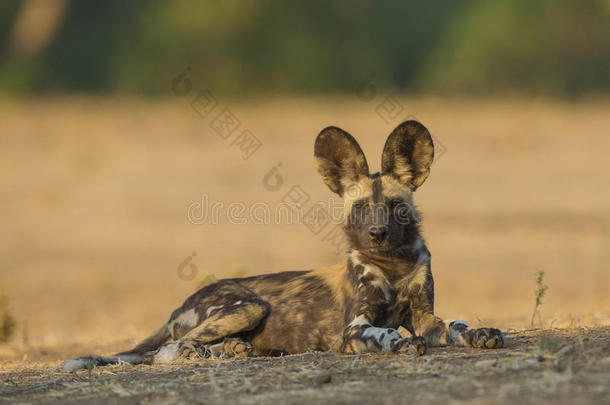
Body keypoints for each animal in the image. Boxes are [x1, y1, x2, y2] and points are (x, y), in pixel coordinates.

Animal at [61, 120, 502, 372]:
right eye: (361, 208)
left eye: (395, 206)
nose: (377, 234)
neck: (392, 265)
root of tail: (179, 305)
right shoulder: (353, 329)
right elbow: (385, 333)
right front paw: (400, 343)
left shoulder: (426, 317)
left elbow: (456, 324)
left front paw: (481, 332)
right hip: (248, 305)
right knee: (168, 349)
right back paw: (199, 355)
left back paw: (234, 351)